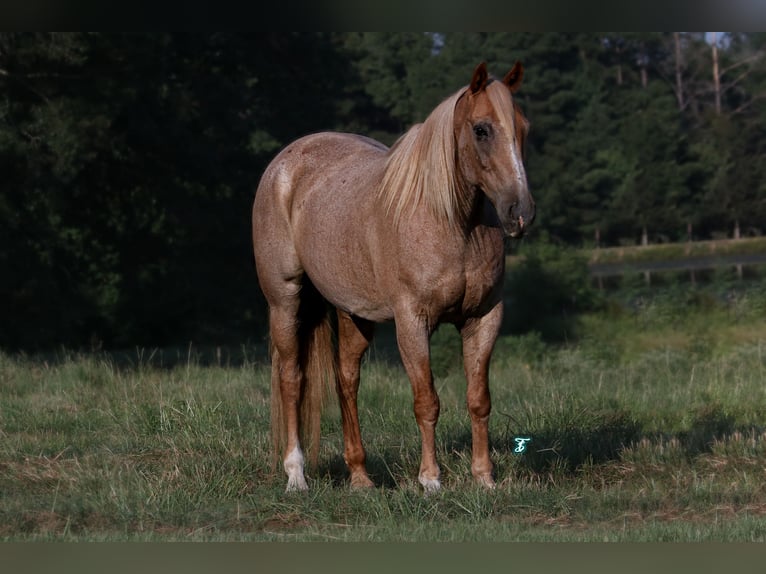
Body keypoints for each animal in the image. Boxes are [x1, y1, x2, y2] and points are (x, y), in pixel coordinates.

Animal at [252, 63, 536, 496]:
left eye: (523, 127)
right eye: (481, 129)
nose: (520, 212)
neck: (452, 223)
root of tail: (284, 164)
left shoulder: (484, 318)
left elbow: (479, 399)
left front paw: (484, 478)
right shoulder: (412, 322)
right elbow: (427, 401)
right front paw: (431, 480)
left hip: (354, 314)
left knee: (346, 381)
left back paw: (360, 477)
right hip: (284, 301)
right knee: (292, 380)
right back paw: (296, 475)